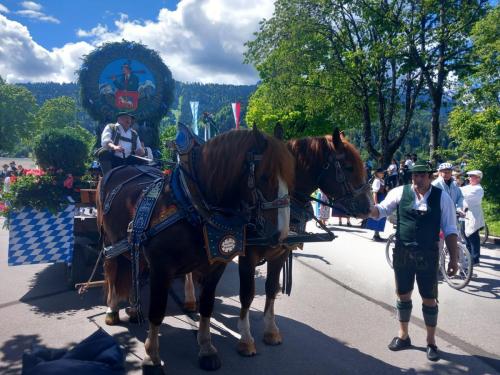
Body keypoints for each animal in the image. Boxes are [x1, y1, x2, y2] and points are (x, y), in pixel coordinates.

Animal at [95, 129, 294, 374]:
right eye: (265, 176)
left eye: (291, 177)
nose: (281, 235)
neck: (192, 203)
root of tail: (118, 169)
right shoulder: (161, 268)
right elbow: (157, 310)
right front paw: (152, 357)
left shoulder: (216, 265)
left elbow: (207, 306)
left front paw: (206, 348)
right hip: (110, 241)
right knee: (112, 270)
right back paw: (112, 309)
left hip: (134, 244)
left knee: (134, 267)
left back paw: (133, 309)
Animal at [184, 128, 372, 356]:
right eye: (349, 167)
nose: (370, 207)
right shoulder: (247, 257)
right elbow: (247, 293)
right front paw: (246, 338)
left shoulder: (280, 253)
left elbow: (272, 288)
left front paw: (271, 330)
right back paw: (191, 299)